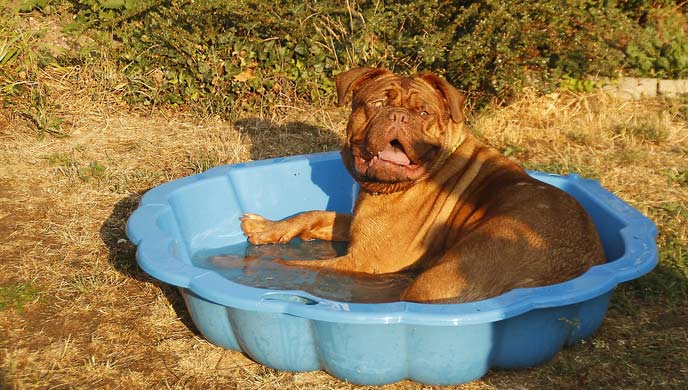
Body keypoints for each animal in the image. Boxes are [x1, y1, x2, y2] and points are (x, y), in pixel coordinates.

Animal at [239, 68, 604, 302]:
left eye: (424, 112)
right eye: (377, 103)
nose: (398, 116)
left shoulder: (365, 262)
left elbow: (296, 264)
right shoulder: (358, 225)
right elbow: (312, 213)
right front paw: (267, 227)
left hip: (440, 278)